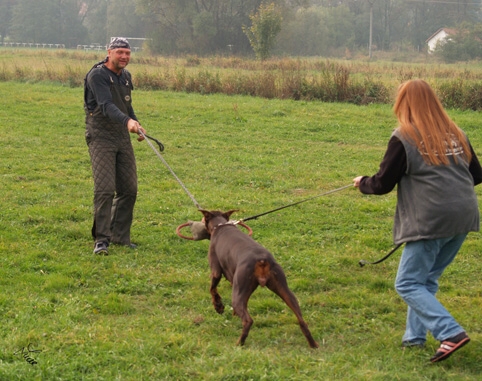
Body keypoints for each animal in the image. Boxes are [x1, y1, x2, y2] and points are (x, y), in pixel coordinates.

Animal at [201, 208, 320, 348]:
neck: (221, 226)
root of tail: (261, 260)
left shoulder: (216, 271)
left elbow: (212, 289)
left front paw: (218, 306)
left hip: (239, 292)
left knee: (248, 320)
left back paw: (239, 343)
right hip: (283, 288)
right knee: (301, 320)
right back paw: (313, 344)